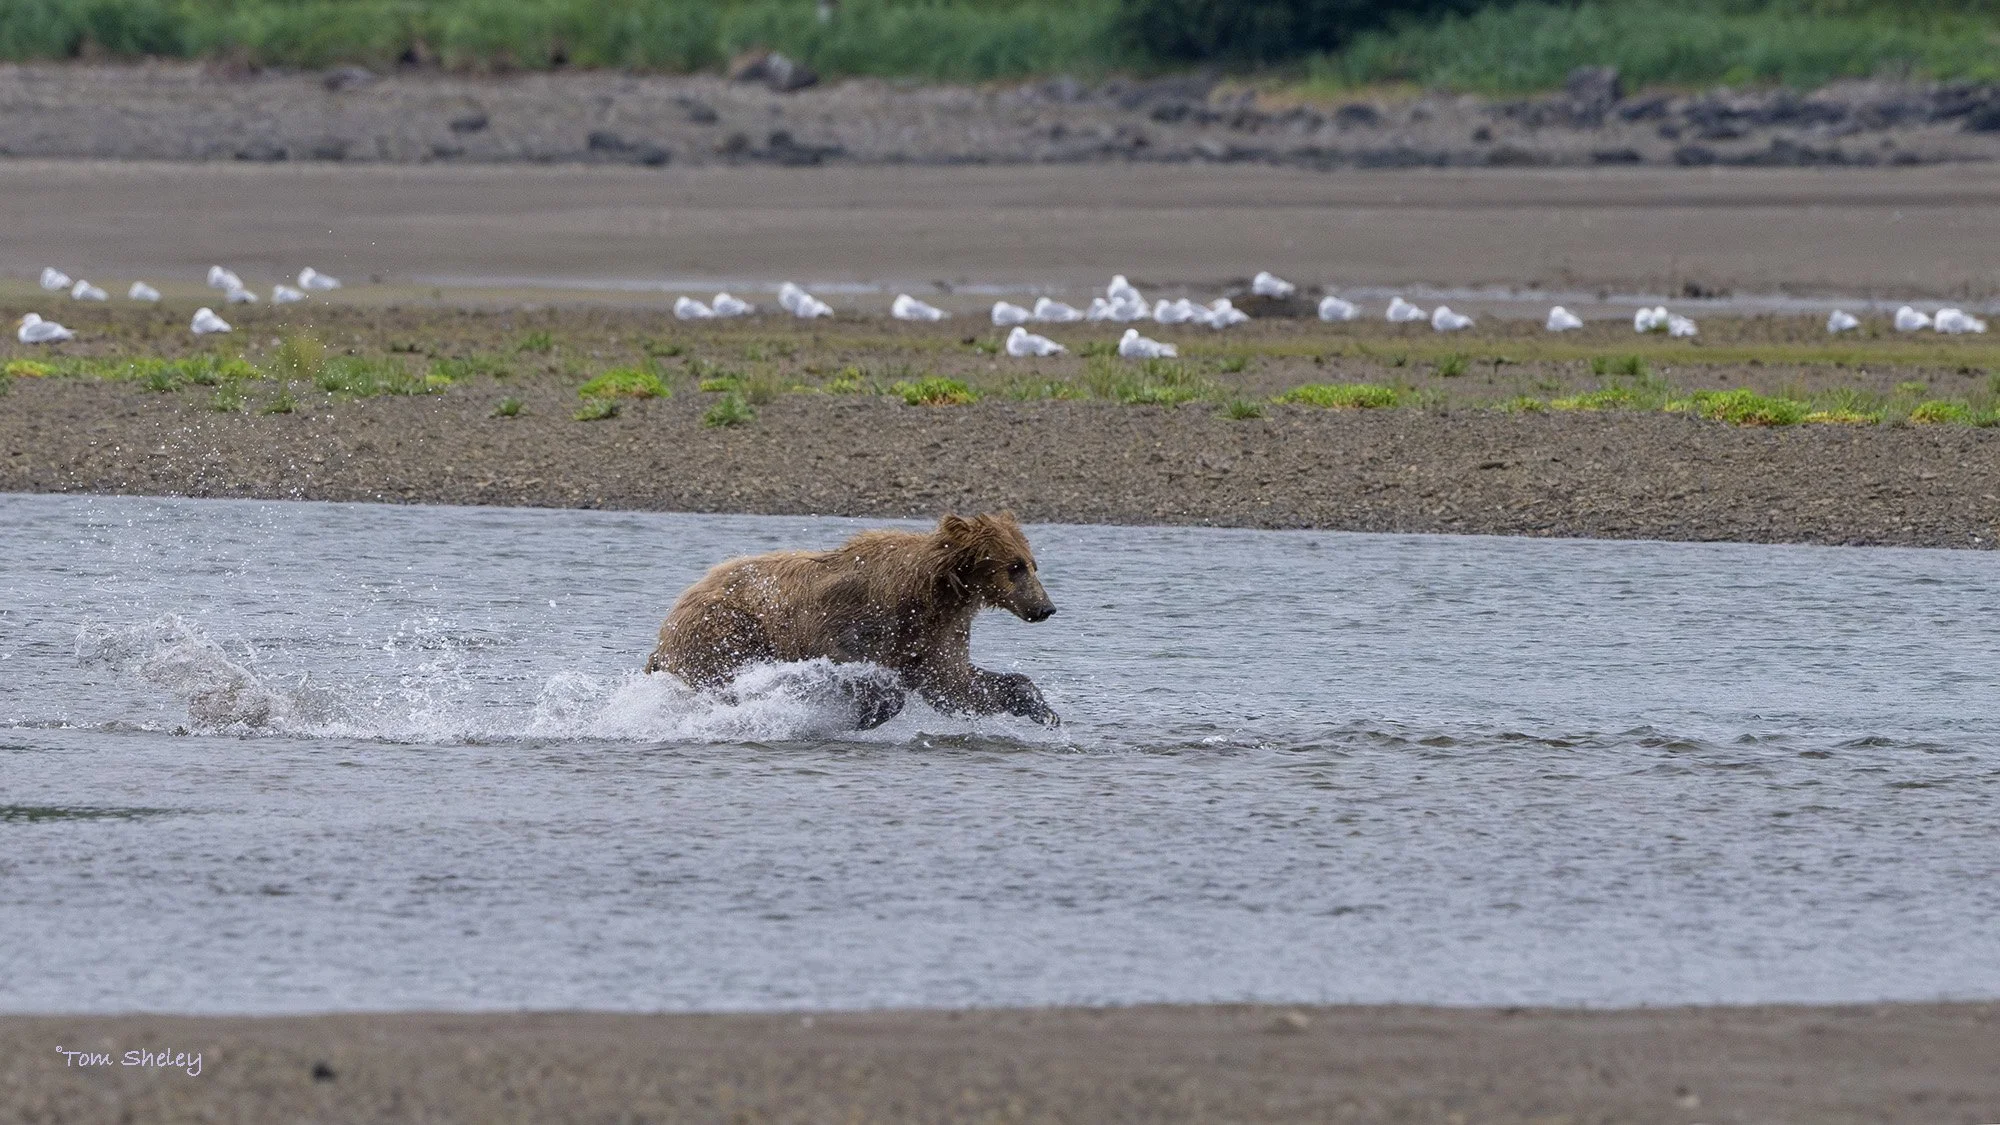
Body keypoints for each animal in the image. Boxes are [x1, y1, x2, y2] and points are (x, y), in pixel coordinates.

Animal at [645, 512, 1059, 729]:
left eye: (1032, 564)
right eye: (1015, 567)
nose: (1046, 608)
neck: (937, 589)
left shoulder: (935, 633)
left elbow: (957, 685)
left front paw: (1044, 710)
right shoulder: (860, 613)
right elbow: (849, 657)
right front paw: (865, 713)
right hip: (724, 629)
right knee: (725, 677)